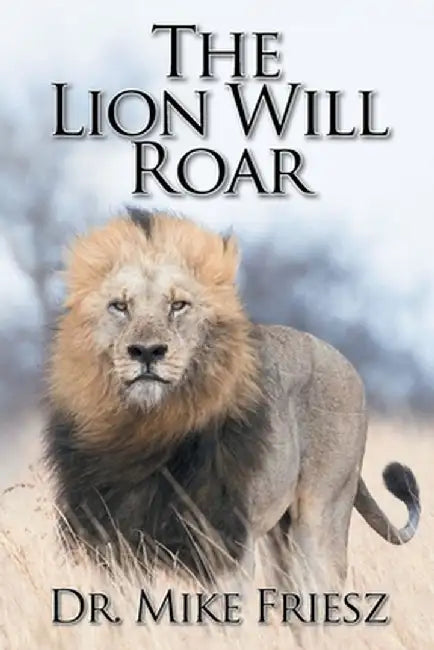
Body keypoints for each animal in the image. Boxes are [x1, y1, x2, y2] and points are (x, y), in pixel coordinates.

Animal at [45, 209, 420, 588]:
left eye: (178, 306)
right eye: (119, 307)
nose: (147, 352)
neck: (146, 429)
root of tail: (345, 362)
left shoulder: (225, 543)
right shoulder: (110, 542)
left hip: (320, 519)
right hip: (278, 538)